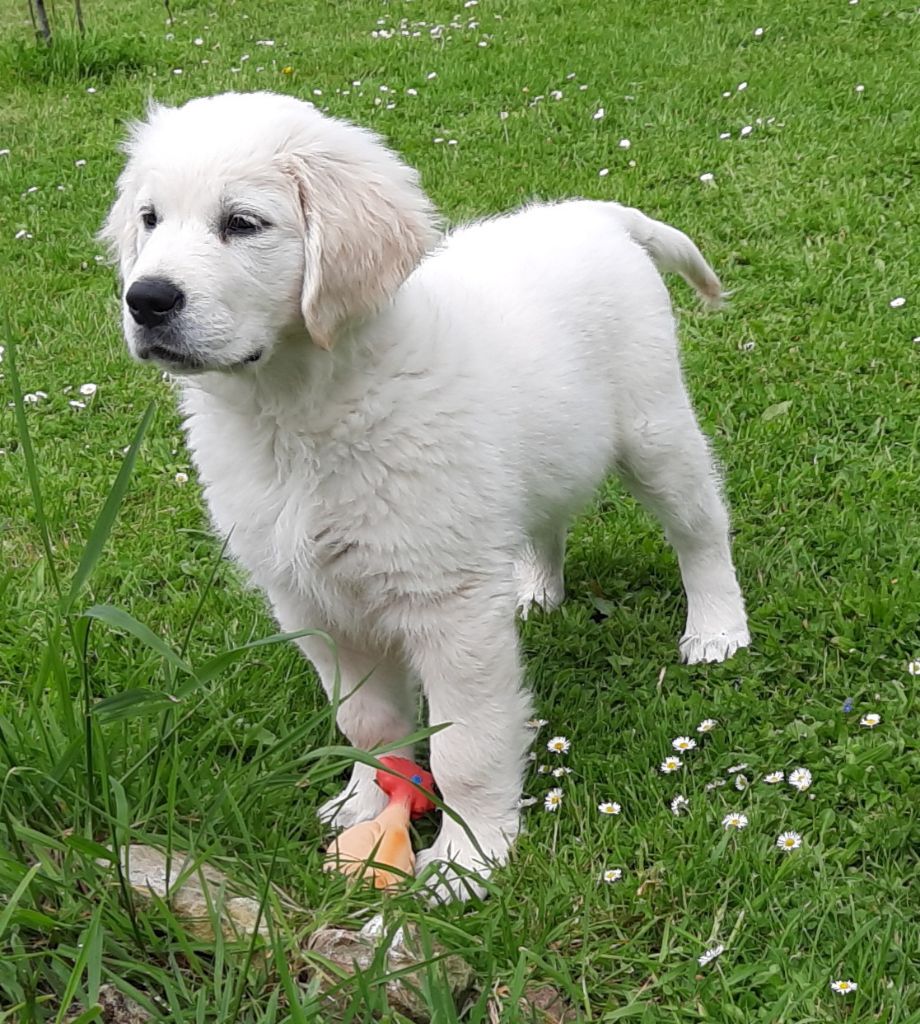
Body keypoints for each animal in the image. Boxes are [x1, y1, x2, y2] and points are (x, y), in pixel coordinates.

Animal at [102, 92, 745, 901]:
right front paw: (368, 800)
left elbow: (467, 743)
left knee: (701, 527)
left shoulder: (448, 603)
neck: (297, 412)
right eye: (150, 219)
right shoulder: (311, 602)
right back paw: (535, 588)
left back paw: (717, 628)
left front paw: (470, 858)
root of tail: (595, 214)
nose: (145, 298)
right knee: (546, 519)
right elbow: (367, 725)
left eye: (242, 223)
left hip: (654, 430)